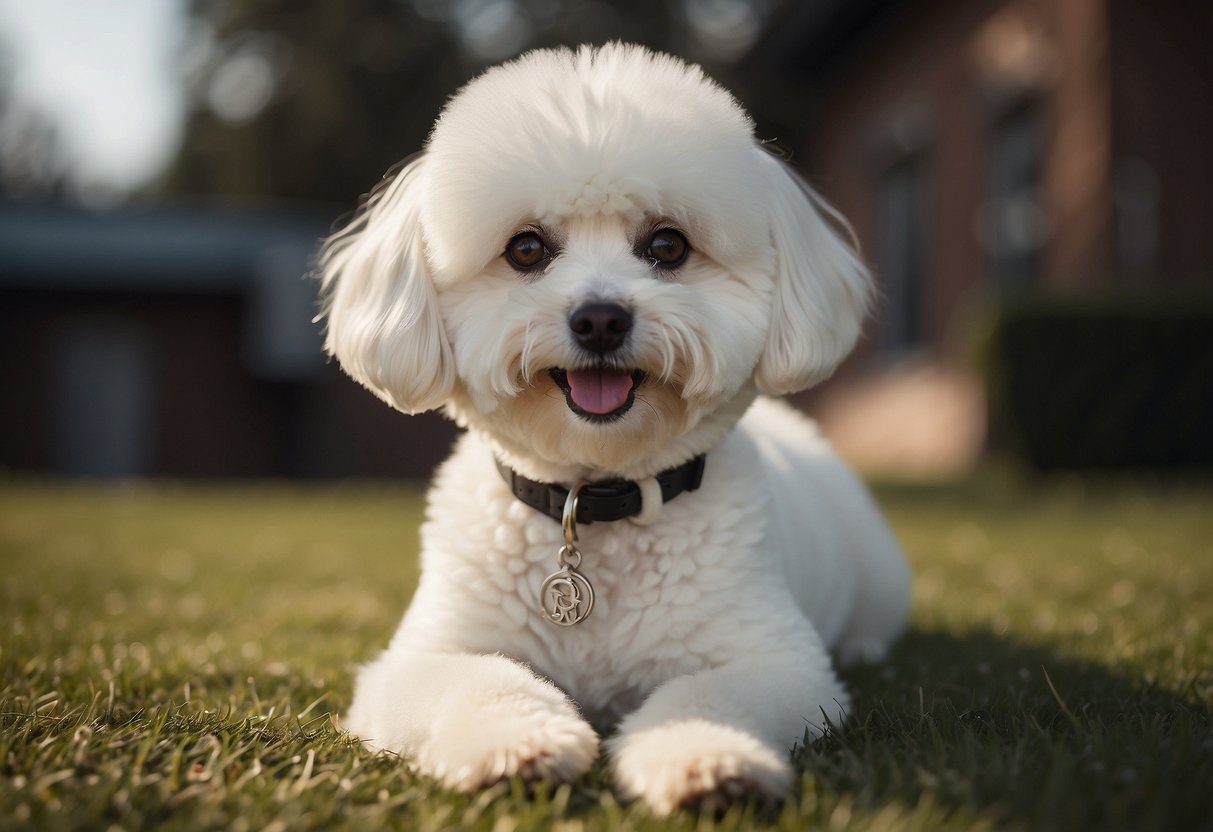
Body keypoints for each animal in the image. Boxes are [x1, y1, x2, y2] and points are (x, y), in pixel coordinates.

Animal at [322, 43, 912, 815]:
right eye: (525, 249)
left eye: (667, 245)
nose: (600, 318)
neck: (593, 502)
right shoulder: (422, 658)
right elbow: (486, 681)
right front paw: (515, 746)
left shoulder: (775, 659)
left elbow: (706, 695)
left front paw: (707, 759)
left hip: (878, 571)